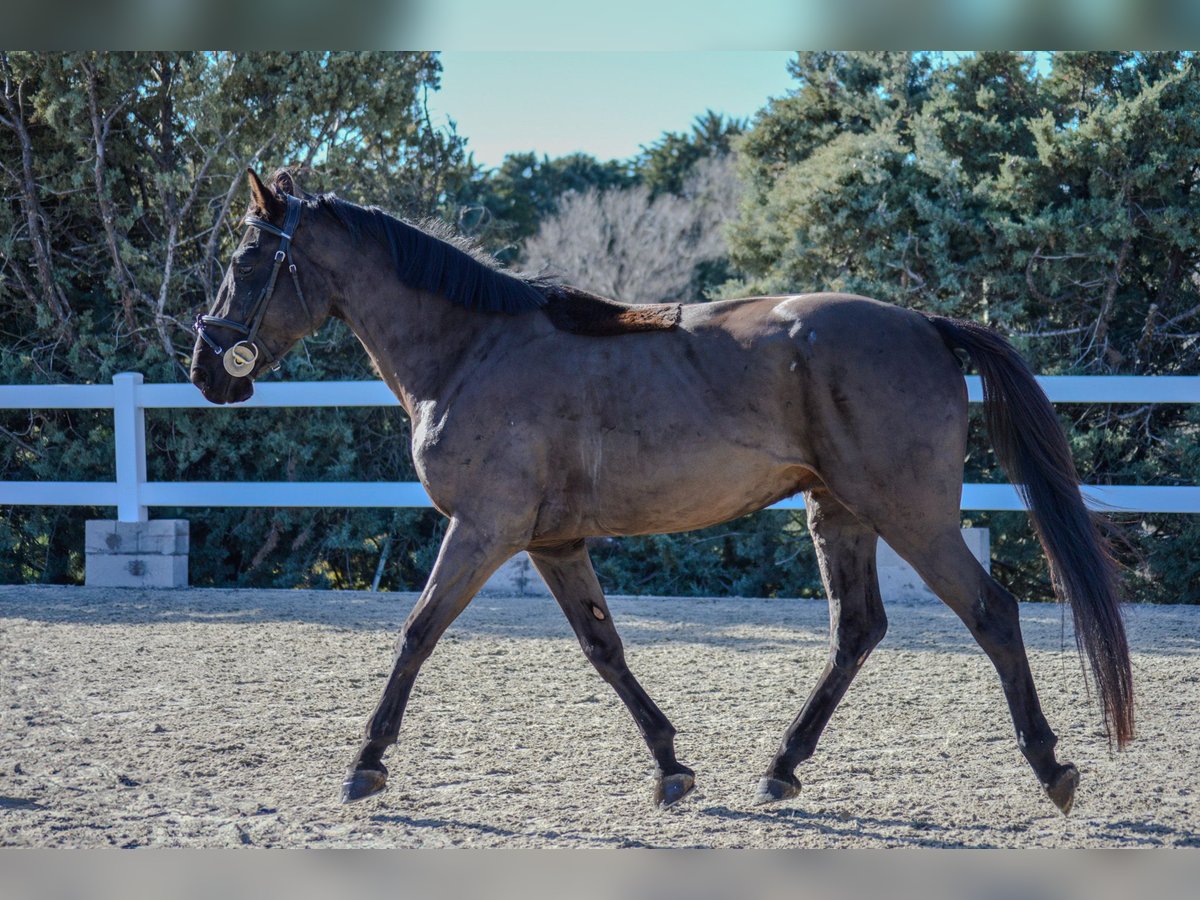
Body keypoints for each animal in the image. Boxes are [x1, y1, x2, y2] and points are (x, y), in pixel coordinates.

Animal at [192, 169, 1128, 816]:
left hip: (911, 513)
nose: (208, 367)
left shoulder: (485, 529)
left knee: (991, 613)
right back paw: (781, 768)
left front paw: (366, 764)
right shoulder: (552, 542)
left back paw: (1052, 768)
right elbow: (605, 649)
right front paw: (672, 766)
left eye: (248, 259)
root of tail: (924, 324)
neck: (470, 351)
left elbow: (418, 632)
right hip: (841, 512)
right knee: (858, 630)